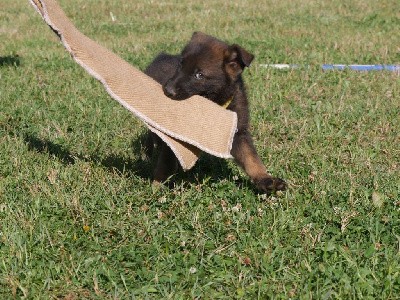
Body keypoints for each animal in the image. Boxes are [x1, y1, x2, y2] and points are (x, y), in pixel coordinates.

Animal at [145, 31, 286, 193]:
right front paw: (157, 187)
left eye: (199, 75)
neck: (212, 107)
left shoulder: (237, 132)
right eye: (181, 65)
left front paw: (266, 179)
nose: (167, 91)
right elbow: (166, 161)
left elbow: (251, 158)